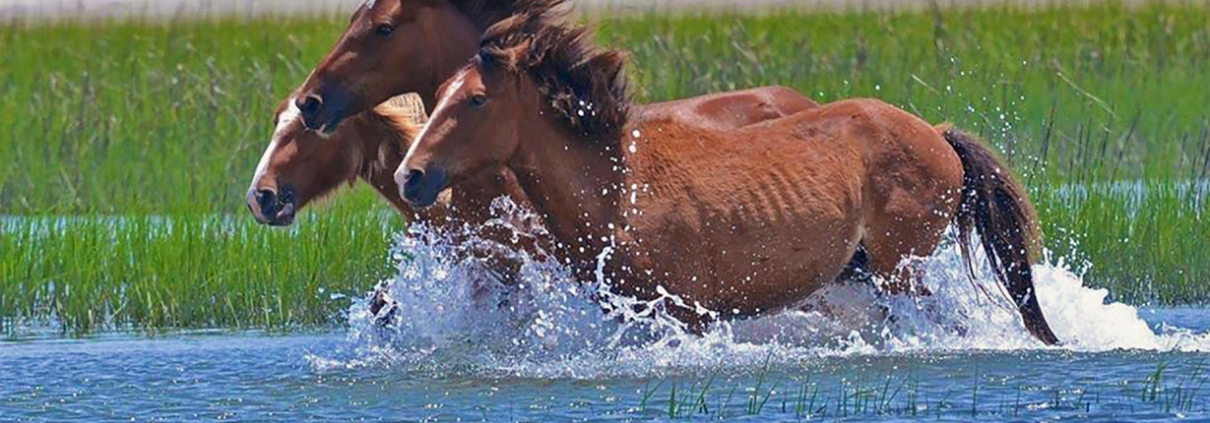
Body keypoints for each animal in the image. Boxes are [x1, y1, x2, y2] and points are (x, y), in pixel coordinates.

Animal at [394, 12, 1059, 343]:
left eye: (476, 100)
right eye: (442, 92)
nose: (410, 176)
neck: (617, 189)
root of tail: (936, 135)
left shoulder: (688, 313)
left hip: (903, 270)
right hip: (868, 272)